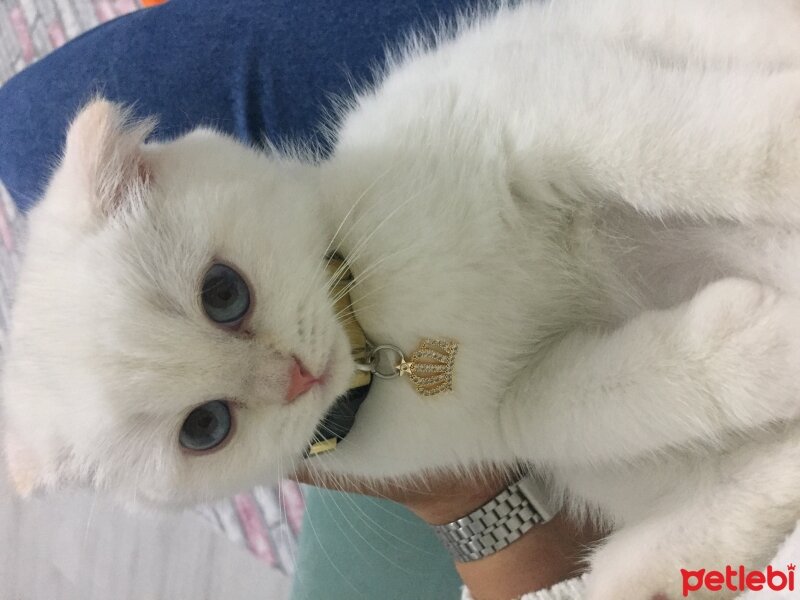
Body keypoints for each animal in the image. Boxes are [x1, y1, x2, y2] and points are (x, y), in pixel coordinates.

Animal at [4, 0, 800, 596]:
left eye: (222, 293)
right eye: (204, 428)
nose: (298, 377)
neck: (381, 329)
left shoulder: (535, 105)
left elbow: (694, 152)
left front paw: (784, 162)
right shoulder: (504, 415)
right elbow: (566, 404)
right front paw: (770, 344)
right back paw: (655, 564)